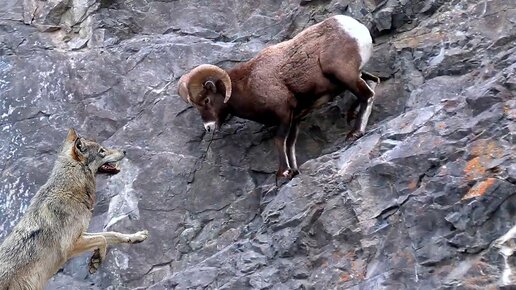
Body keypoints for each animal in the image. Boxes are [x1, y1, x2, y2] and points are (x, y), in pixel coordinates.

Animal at [177, 15, 378, 179]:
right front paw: (293, 171)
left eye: (206, 101)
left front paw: (282, 174)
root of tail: (356, 29)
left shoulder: (283, 113)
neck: (248, 83)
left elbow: (279, 141)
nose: (208, 127)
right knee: (373, 81)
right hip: (352, 76)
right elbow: (290, 144)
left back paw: (355, 133)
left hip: (344, 76)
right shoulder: (295, 117)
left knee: (367, 95)